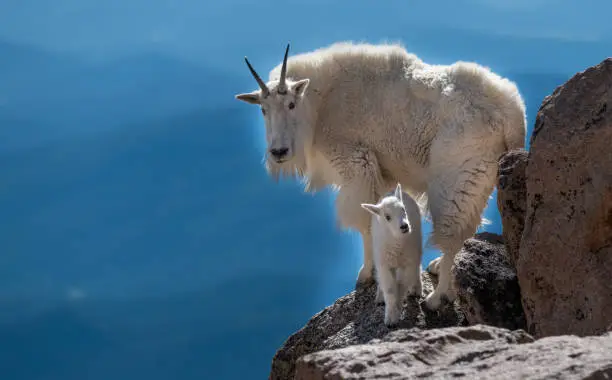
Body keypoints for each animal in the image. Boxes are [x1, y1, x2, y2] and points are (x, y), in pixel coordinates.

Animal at [360, 184, 424, 326]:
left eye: (403, 209)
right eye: (387, 217)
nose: (404, 226)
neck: (397, 243)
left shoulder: (408, 262)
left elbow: (401, 286)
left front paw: (397, 310)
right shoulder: (385, 264)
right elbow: (389, 289)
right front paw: (390, 317)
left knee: (417, 266)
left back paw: (417, 288)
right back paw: (380, 296)